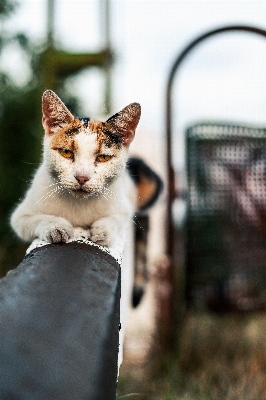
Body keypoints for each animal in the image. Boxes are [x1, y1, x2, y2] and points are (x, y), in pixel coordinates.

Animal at [10, 90, 141, 247]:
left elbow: (115, 219)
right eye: (66, 152)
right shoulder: (20, 216)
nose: (82, 177)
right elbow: (36, 219)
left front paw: (103, 231)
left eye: (103, 157)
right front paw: (55, 227)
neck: (79, 204)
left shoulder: (124, 210)